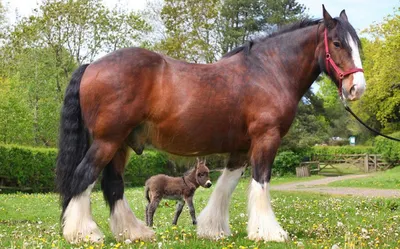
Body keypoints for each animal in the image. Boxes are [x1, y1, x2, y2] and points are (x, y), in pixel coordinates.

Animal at [55, 5, 366, 243]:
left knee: (113, 185)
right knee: (83, 178)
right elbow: (261, 181)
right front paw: (270, 233)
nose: (357, 88)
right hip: (107, 141)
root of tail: (91, 66)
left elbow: (226, 186)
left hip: (121, 144)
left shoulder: (241, 148)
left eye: (357, 44)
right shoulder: (267, 138)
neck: (268, 71)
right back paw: (83, 233)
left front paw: (213, 229)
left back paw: (135, 232)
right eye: (337, 43)